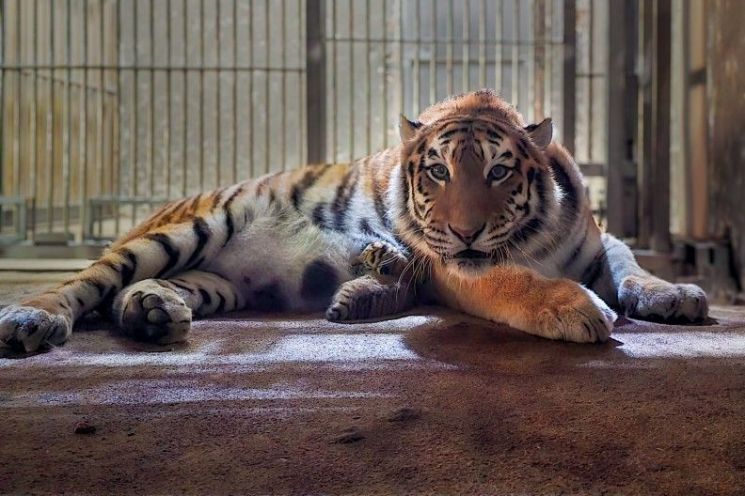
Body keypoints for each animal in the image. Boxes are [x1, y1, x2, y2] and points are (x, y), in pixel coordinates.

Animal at [0, 89, 708, 353]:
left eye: (500, 171)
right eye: (438, 172)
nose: (466, 231)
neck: (541, 235)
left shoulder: (598, 237)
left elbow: (631, 263)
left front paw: (675, 295)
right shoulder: (457, 265)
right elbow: (515, 282)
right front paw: (579, 308)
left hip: (215, 281)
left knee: (130, 293)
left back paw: (151, 315)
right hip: (191, 229)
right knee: (86, 283)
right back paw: (32, 320)